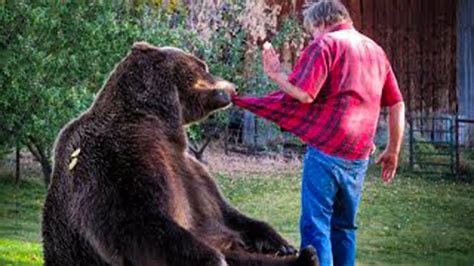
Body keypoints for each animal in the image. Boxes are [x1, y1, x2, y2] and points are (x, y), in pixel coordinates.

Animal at [41, 42, 318, 266]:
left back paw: (305, 256)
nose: (234, 85)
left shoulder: (190, 170)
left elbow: (226, 213)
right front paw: (212, 259)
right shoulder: (115, 157)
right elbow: (134, 222)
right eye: (203, 65)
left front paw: (281, 243)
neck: (156, 120)